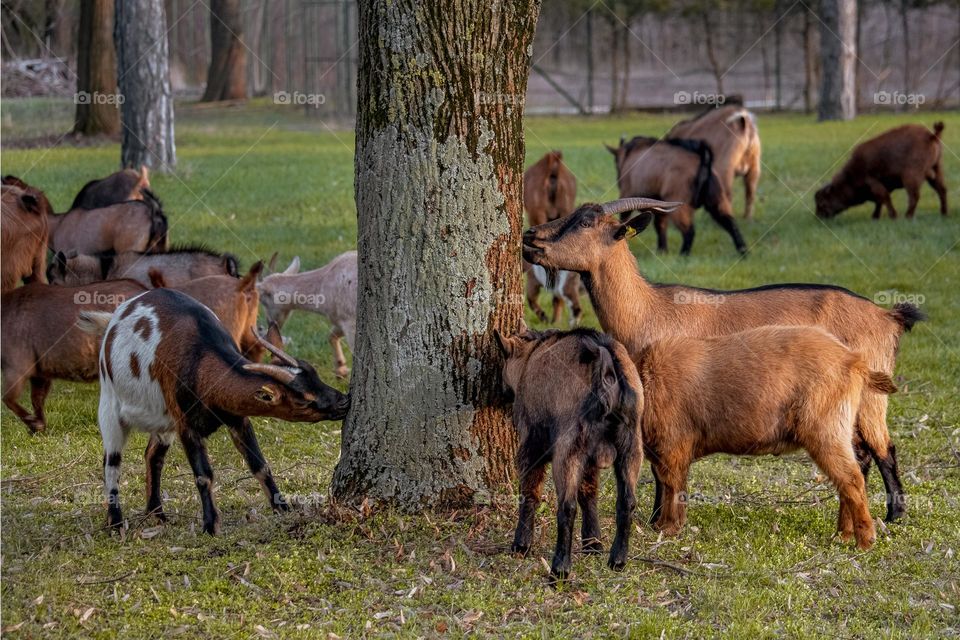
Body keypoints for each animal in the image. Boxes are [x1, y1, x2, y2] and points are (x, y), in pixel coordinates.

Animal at [496, 330, 644, 580]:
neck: (530, 358)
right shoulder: (591, 458)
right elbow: (589, 492)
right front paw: (593, 543)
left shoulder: (532, 444)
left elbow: (530, 491)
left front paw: (521, 544)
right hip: (631, 445)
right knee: (627, 500)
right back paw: (617, 559)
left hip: (568, 450)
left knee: (567, 506)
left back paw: (560, 568)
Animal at [524, 199, 924, 520]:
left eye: (585, 222)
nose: (530, 237)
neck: (649, 310)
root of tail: (888, 316)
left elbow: (662, 464)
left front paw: (657, 520)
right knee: (863, 452)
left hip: (871, 395)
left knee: (883, 448)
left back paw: (894, 516)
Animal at [604, 136, 748, 254]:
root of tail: (703, 159)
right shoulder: (659, 205)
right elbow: (660, 225)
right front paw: (662, 250)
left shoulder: (628, 193)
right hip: (716, 199)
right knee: (731, 223)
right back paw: (743, 252)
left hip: (679, 203)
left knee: (689, 230)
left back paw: (683, 254)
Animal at [632, 324, 896, 552]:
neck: (647, 382)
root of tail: (854, 361)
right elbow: (669, 487)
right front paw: (661, 526)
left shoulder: (673, 451)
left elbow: (673, 488)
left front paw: (668, 528)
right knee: (849, 479)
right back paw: (843, 534)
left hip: (826, 434)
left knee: (852, 479)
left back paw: (864, 540)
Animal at [812, 122, 948, 220]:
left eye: (822, 202)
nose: (819, 216)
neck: (850, 175)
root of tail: (931, 136)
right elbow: (879, 201)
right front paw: (875, 216)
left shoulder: (873, 182)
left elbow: (884, 198)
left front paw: (893, 216)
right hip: (936, 170)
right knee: (941, 190)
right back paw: (944, 213)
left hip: (910, 177)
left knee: (914, 196)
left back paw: (908, 216)